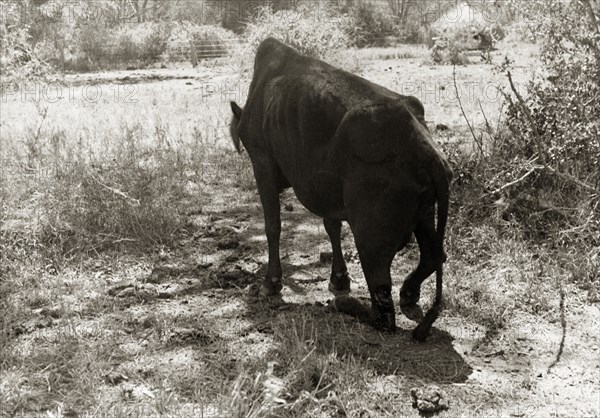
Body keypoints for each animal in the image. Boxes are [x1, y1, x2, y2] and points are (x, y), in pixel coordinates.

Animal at [229, 38, 450, 340]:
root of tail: (423, 146)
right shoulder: (325, 185)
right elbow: (332, 226)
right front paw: (339, 278)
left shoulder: (261, 161)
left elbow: (273, 225)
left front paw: (271, 282)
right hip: (426, 212)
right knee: (432, 256)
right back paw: (407, 291)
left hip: (371, 236)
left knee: (384, 308)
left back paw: (349, 306)